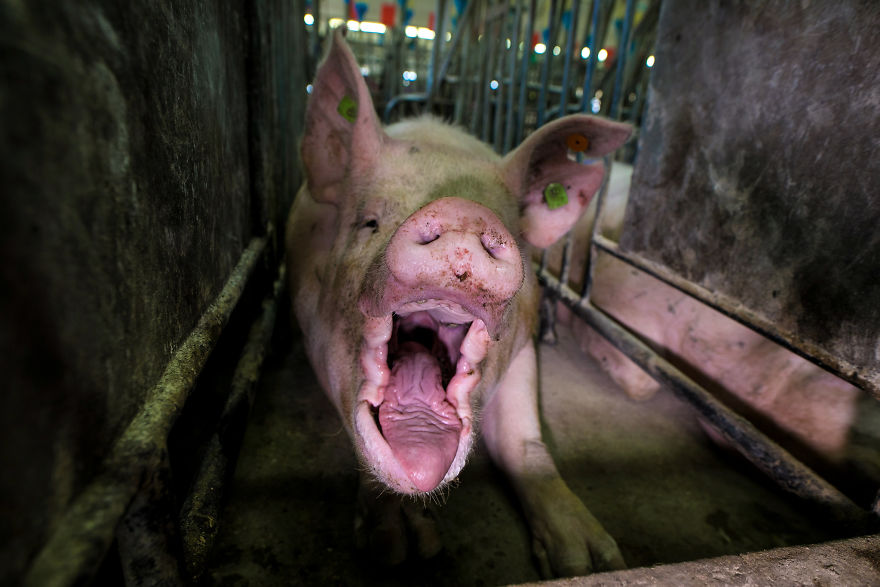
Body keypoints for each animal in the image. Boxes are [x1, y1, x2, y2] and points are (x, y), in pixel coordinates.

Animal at [285, 31, 631, 577]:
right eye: (369, 222)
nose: (464, 214)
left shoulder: (526, 341)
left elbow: (526, 441)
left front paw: (591, 563)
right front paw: (398, 549)